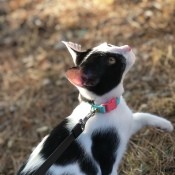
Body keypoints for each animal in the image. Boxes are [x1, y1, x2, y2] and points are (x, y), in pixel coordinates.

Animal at [18, 41, 174, 174]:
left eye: (109, 45)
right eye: (111, 61)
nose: (127, 47)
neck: (100, 107)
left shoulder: (126, 124)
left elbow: (141, 115)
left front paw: (166, 125)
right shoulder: (106, 162)